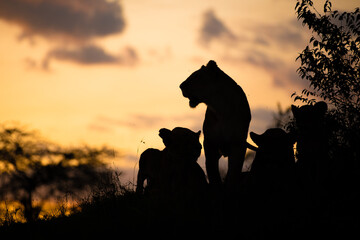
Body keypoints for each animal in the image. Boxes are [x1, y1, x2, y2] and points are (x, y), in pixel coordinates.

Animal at [179, 60, 250, 193]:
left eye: (196, 76)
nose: (180, 86)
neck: (220, 108)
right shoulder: (210, 142)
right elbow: (212, 171)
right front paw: (216, 188)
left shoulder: (238, 143)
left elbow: (233, 172)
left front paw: (230, 188)